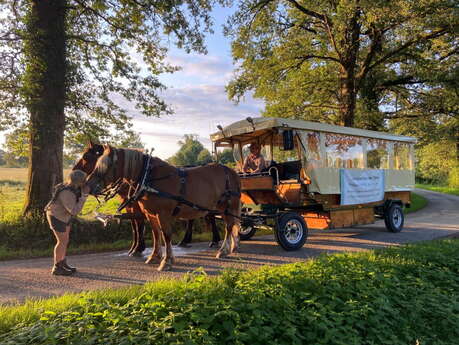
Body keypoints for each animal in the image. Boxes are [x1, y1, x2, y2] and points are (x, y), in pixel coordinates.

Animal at [87, 144, 243, 270]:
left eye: (106, 165)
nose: (88, 185)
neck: (148, 177)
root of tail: (232, 172)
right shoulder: (150, 214)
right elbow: (156, 234)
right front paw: (155, 256)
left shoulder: (163, 214)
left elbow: (166, 235)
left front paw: (166, 261)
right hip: (222, 207)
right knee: (231, 225)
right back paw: (232, 246)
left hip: (229, 206)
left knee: (229, 226)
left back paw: (223, 250)